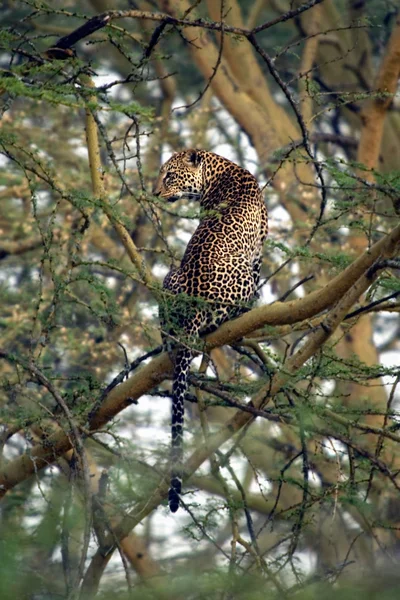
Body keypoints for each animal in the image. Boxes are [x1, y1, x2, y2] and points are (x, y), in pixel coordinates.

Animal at [153, 149, 268, 510]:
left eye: (169, 176)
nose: (155, 192)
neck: (221, 169)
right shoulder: (258, 253)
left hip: (169, 277)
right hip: (243, 275)